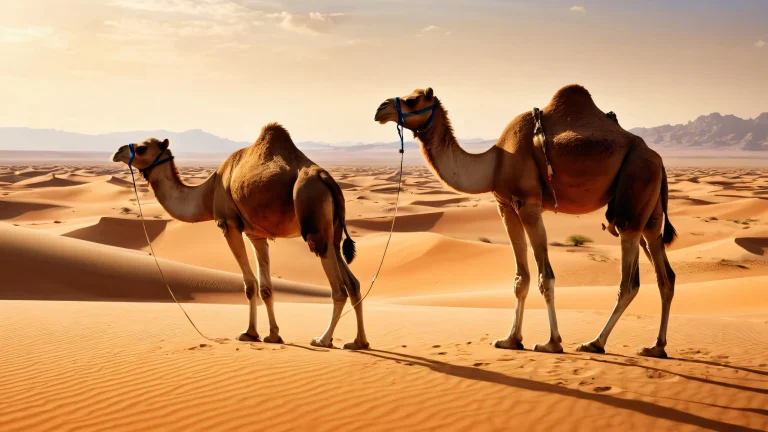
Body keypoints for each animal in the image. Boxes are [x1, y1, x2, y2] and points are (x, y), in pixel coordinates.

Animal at [111, 123, 369, 350]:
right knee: (353, 283)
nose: (118, 151)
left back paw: (323, 339)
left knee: (339, 288)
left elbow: (250, 284)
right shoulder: (257, 235)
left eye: (142, 148)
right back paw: (358, 342)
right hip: (333, 231)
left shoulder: (229, 224)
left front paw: (249, 333)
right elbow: (266, 288)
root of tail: (327, 179)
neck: (207, 193)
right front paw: (272, 335)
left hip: (314, 221)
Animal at [374, 85, 677, 358]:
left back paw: (595, 343)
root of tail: (659, 159)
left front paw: (552, 343)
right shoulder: (506, 206)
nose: (381, 108)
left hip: (634, 193)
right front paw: (510, 340)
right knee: (665, 275)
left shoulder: (529, 205)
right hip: (649, 212)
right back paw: (656, 347)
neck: (495, 163)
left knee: (630, 281)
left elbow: (546, 277)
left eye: (413, 100)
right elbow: (521, 278)